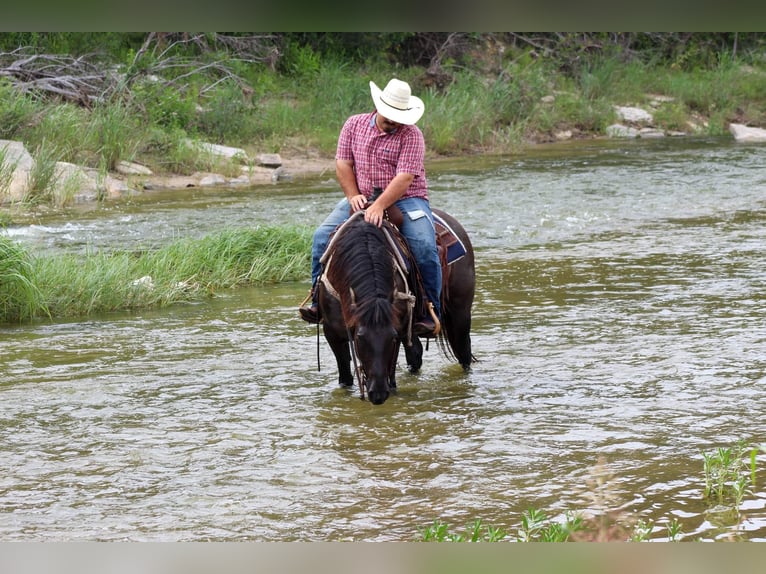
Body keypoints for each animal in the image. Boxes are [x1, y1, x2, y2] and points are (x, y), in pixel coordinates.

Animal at [316, 209, 474, 408]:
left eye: (391, 337)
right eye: (359, 337)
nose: (377, 394)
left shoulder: (397, 330)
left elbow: (391, 374)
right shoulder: (332, 333)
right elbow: (345, 378)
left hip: (460, 313)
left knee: (464, 352)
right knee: (416, 354)